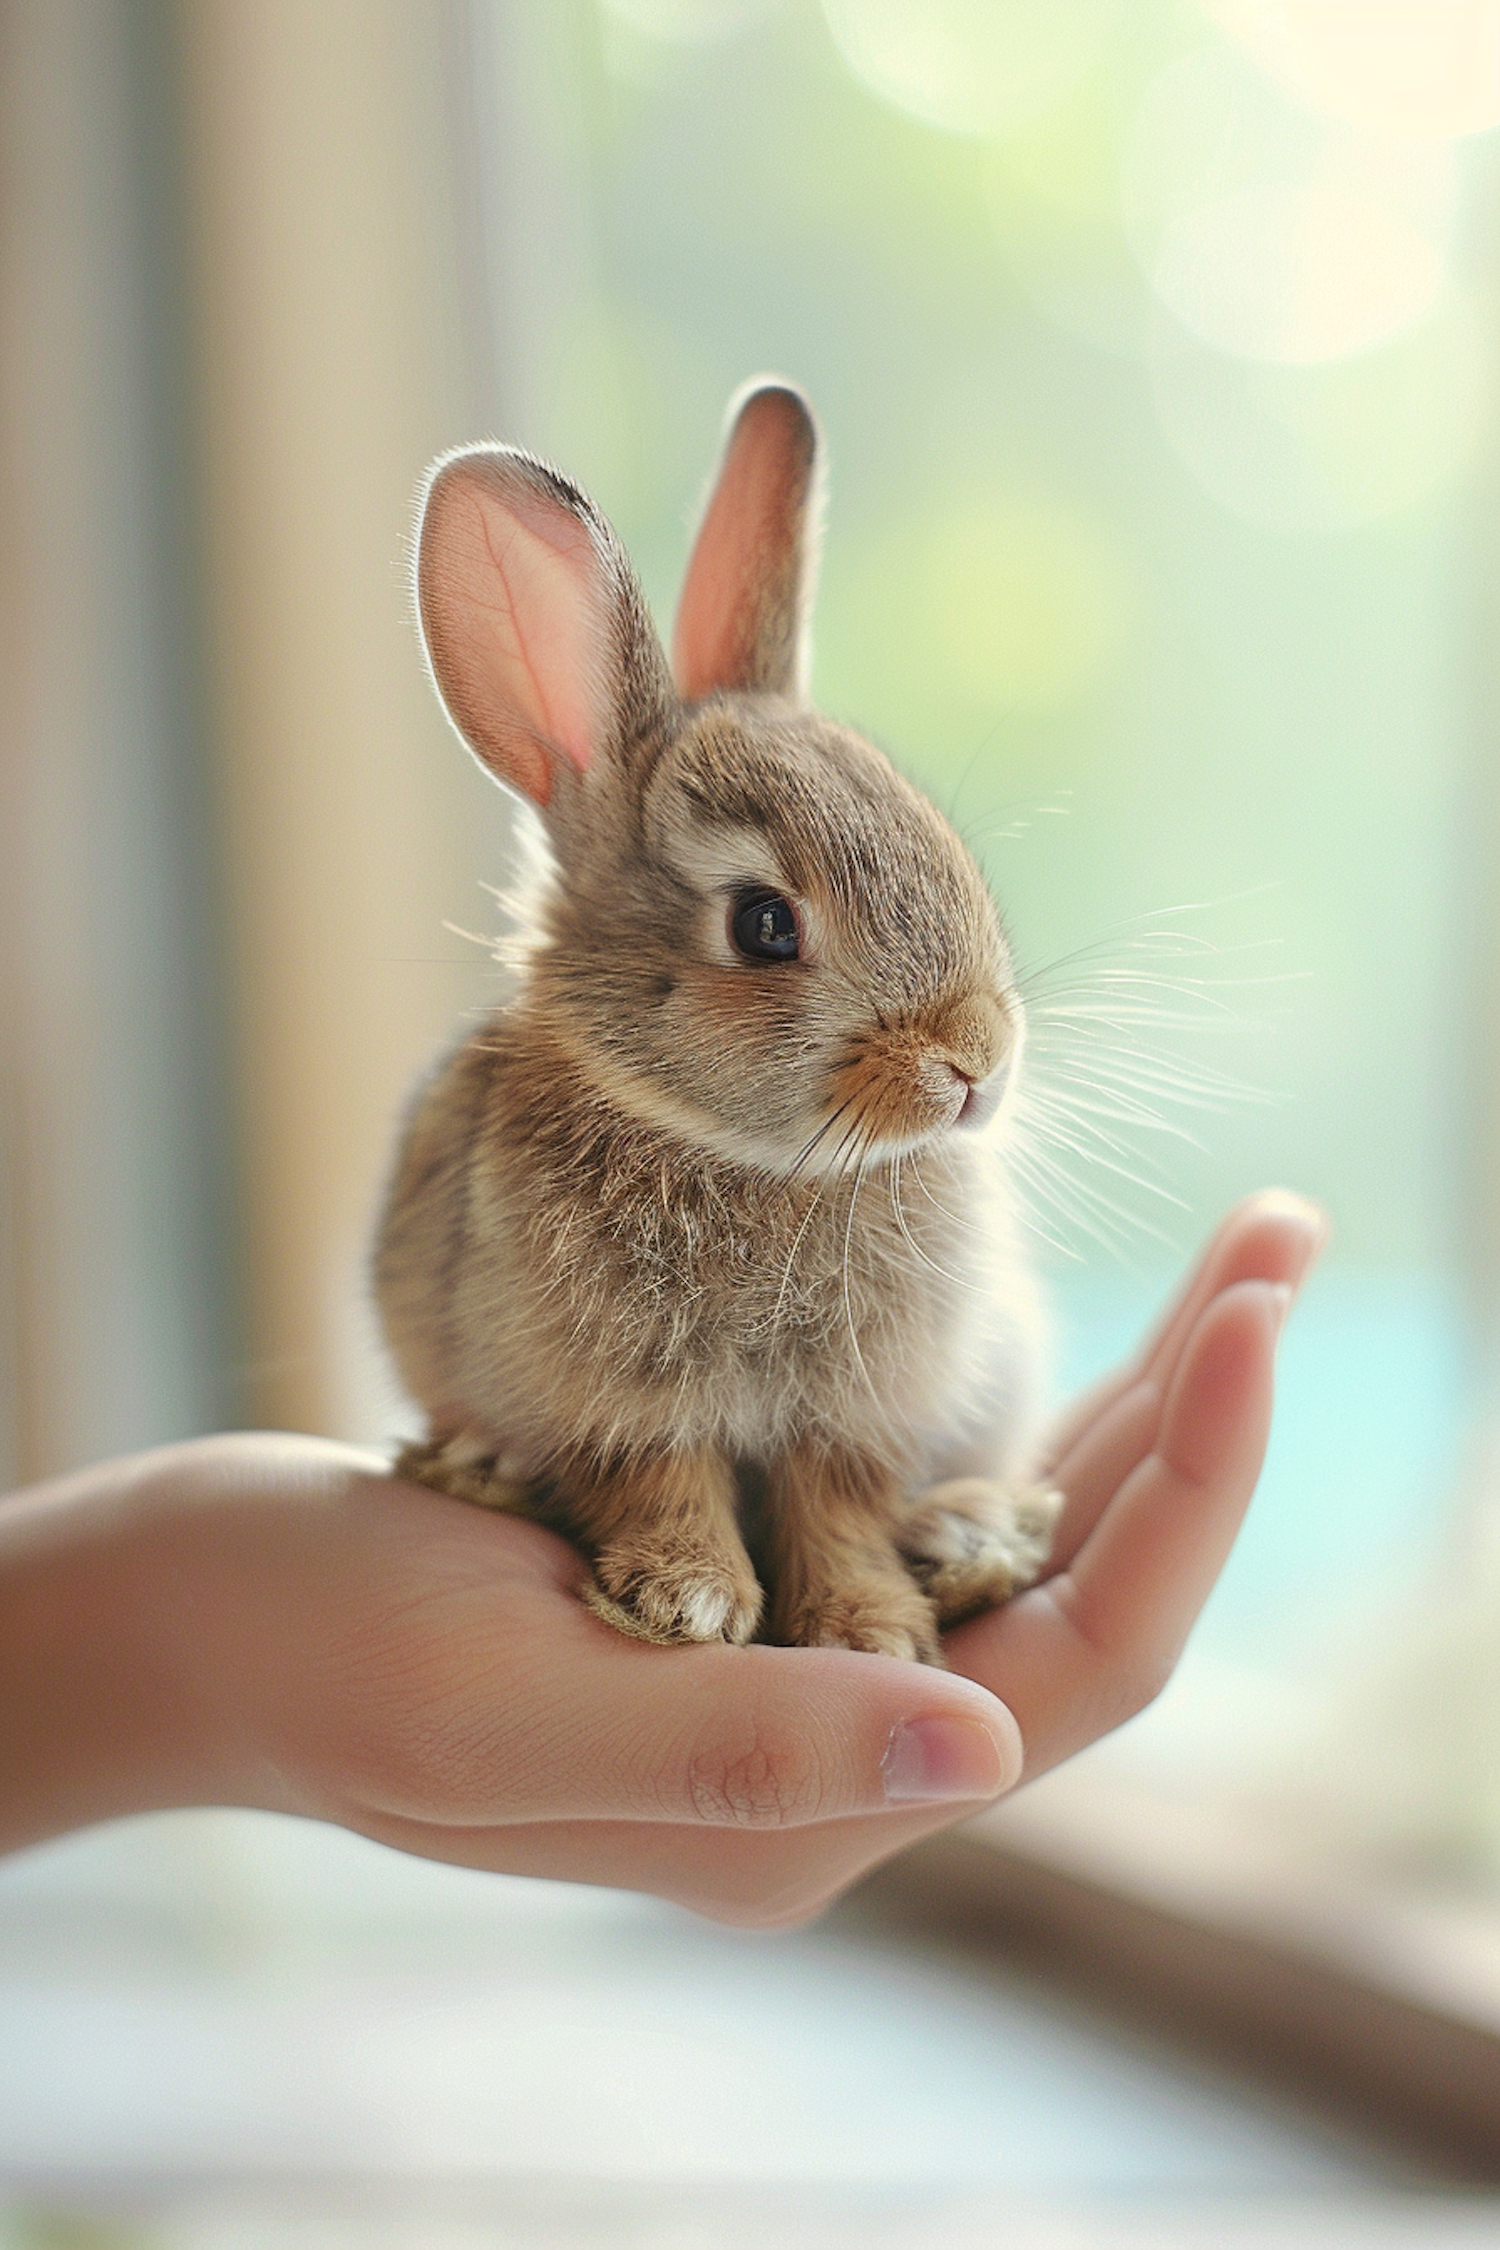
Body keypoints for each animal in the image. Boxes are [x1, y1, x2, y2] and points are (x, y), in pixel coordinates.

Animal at [373, 378, 1056, 1665]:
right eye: (765, 925)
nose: (977, 1064)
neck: (743, 1155)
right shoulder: (616, 1404)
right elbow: (659, 1480)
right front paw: (683, 1600)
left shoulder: (855, 1416)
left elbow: (837, 1508)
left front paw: (867, 1627)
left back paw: (973, 1540)